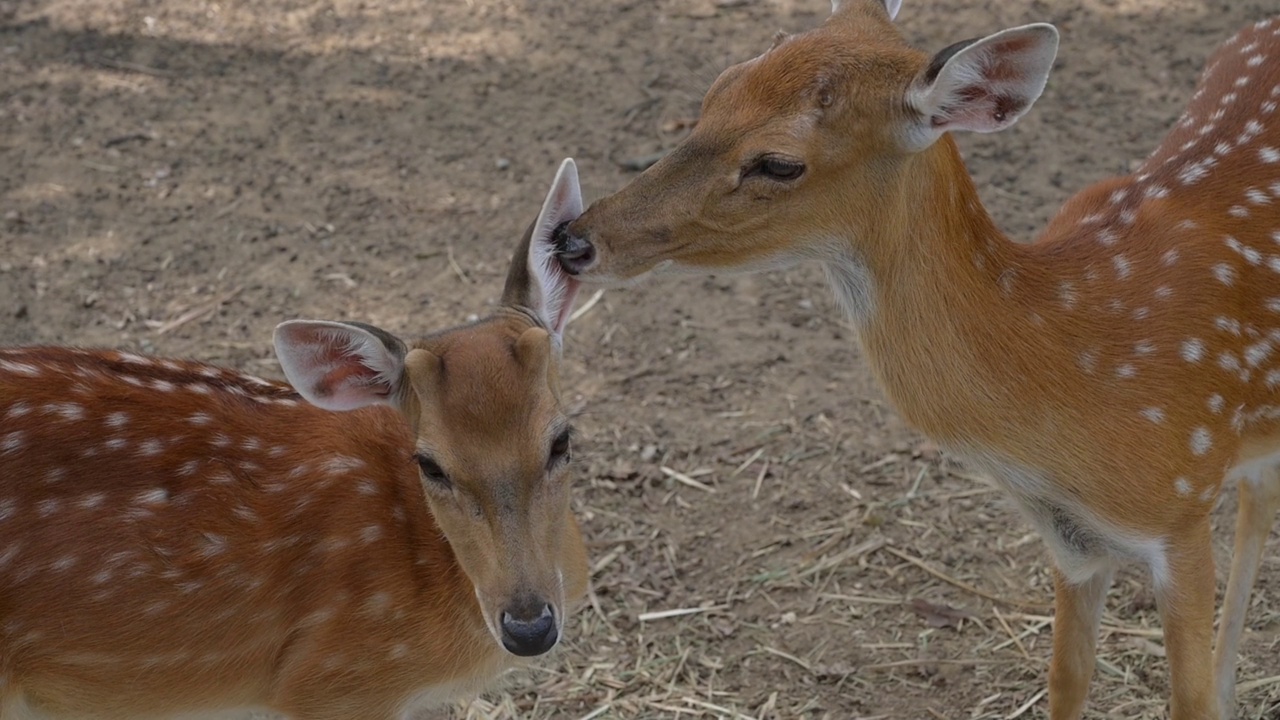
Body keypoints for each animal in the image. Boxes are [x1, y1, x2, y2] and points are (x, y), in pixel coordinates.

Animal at [555, 0, 1280, 712]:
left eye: (780, 163)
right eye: (717, 89)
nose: (572, 239)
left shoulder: (1183, 509)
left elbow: (1187, 697)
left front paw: (1213, 689)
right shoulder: (1071, 540)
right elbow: (1067, 678)